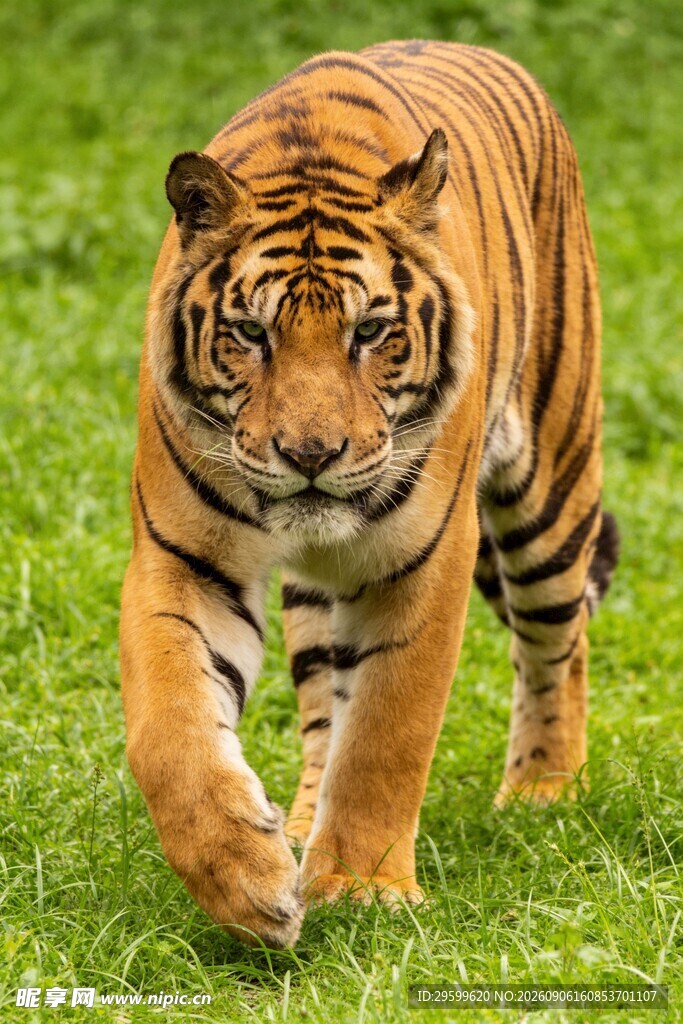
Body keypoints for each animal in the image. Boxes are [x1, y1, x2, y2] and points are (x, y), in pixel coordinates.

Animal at [120, 39, 619, 948]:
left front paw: (361, 888)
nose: (310, 455)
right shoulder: (181, 560)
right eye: (251, 333)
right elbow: (170, 732)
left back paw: (544, 793)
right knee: (325, 709)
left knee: (557, 645)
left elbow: (388, 731)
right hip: (320, 599)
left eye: (371, 332)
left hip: (551, 487)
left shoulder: (422, 562)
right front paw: (246, 881)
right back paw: (298, 825)